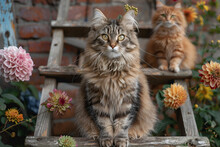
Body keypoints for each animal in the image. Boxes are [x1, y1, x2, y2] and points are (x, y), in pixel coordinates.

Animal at [75, 8, 157, 146]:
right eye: (105, 36)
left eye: (121, 37)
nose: (113, 45)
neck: (111, 72)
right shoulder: (97, 101)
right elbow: (104, 123)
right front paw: (106, 139)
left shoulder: (128, 101)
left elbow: (122, 124)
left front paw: (121, 140)